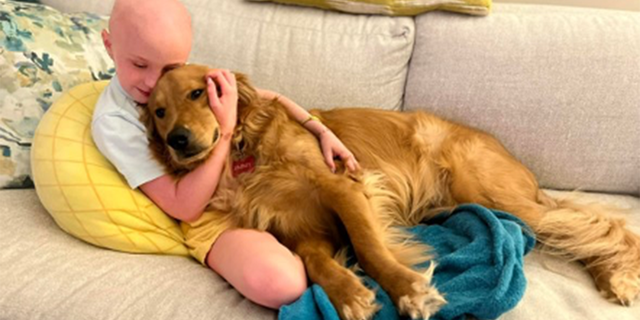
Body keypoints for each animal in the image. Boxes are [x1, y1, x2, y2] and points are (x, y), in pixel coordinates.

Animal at [144, 63, 640, 318]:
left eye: (197, 93)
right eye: (158, 112)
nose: (178, 140)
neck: (246, 154)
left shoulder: (345, 185)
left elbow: (367, 247)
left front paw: (406, 290)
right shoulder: (302, 231)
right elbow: (314, 264)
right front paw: (348, 295)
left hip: (489, 192)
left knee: (603, 225)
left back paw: (620, 275)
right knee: (579, 232)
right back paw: (609, 275)